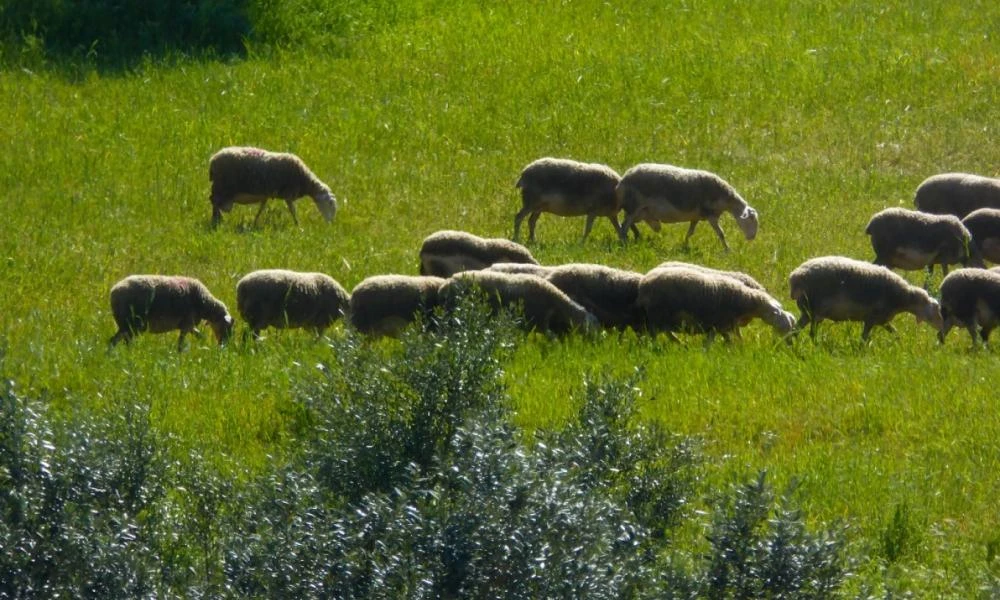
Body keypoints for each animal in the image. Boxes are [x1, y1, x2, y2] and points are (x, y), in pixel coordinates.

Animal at [209, 147, 338, 227]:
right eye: (331, 204)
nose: (330, 223)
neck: (305, 180)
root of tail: (213, 159)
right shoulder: (288, 194)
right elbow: (293, 210)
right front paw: (298, 225)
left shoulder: (267, 194)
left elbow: (261, 208)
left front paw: (254, 222)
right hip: (223, 186)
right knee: (214, 202)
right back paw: (217, 220)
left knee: (214, 202)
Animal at [616, 163, 756, 250]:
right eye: (751, 220)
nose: (752, 238)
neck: (725, 197)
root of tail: (624, 179)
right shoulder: (711, 215)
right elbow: (721, 233)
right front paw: (727, 250)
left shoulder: (696, 217)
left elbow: (690, 232)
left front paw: (685, 245)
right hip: (634, 206)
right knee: (624, 226)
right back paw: (624, 243)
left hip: (640, 211)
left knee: (627, 224)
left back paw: (633, 238)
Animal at [636, 266, 792, 344]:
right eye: (783, 325)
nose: (789, 343)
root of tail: (644, 282)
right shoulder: (717, 324)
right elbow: (711, 344)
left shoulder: (724, 326)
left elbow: (730, 340)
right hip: (658, 314)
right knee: (656, 335)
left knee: (667, 333)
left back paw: (680, 344)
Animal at [784, 254, 940, 342]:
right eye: (937, 312)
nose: (941, 331)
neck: (902, 298)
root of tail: (795, 276)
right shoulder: (872, 318)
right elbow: (864, 339)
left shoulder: (882, 319)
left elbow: (894, 333)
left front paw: (900, 344)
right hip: (815, 310)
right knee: (811, 333)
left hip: (808, 312)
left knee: (795, 330)